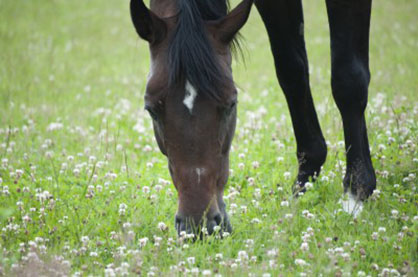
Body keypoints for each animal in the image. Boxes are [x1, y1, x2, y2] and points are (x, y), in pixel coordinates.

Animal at [130, 0, 376, 235]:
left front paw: (355, 193)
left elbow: (348, 79)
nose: (199, 227)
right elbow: (292, 72)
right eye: (151, 110)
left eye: (231, 104)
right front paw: (305, 181)